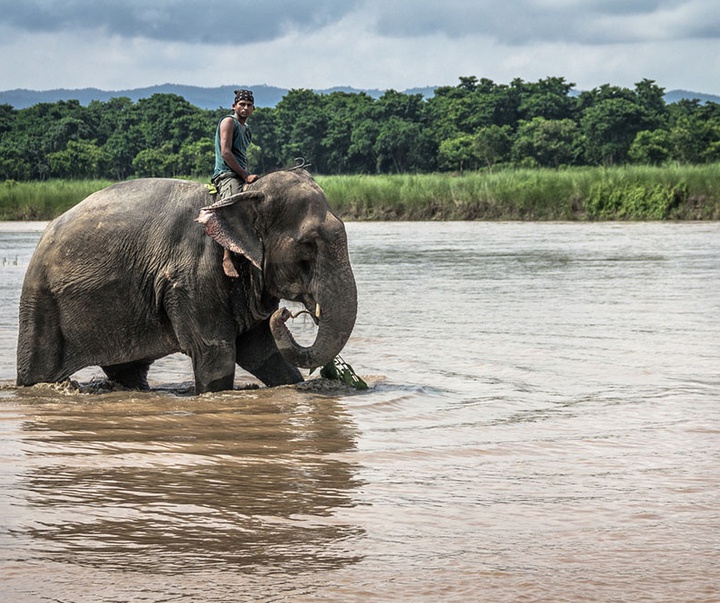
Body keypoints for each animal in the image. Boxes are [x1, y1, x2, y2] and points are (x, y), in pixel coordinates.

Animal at [19, 171, 360, 396]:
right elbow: (217, 354)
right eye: (308, 245)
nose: (286, 314)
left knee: (128, 370)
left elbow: (261, 352)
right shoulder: (192, 277)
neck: (242, 194)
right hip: (41, 306)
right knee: (38, 370)